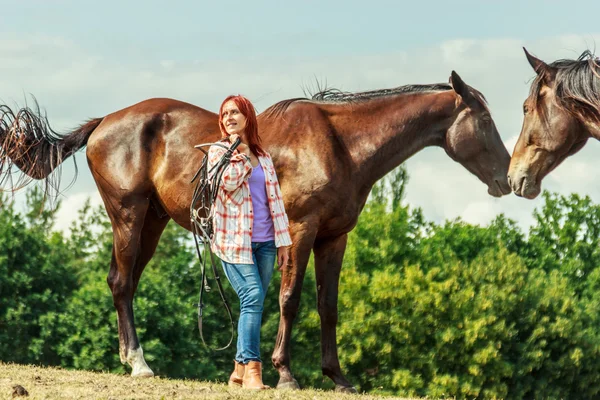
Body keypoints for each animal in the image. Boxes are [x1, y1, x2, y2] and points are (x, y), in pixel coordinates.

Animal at [0, 70, 510, 392]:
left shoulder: (334, 238)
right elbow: (289, 299)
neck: (340, 144)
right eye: (485, 120)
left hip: (152, 223)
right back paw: (140, 364)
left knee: (121, 283)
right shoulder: (301, 232)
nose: (508, 179)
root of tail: (103, 123)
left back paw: (132, 358)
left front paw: (338, 377)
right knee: (122, 283)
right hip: (129, 216)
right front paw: (286, 374)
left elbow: (328, 307)